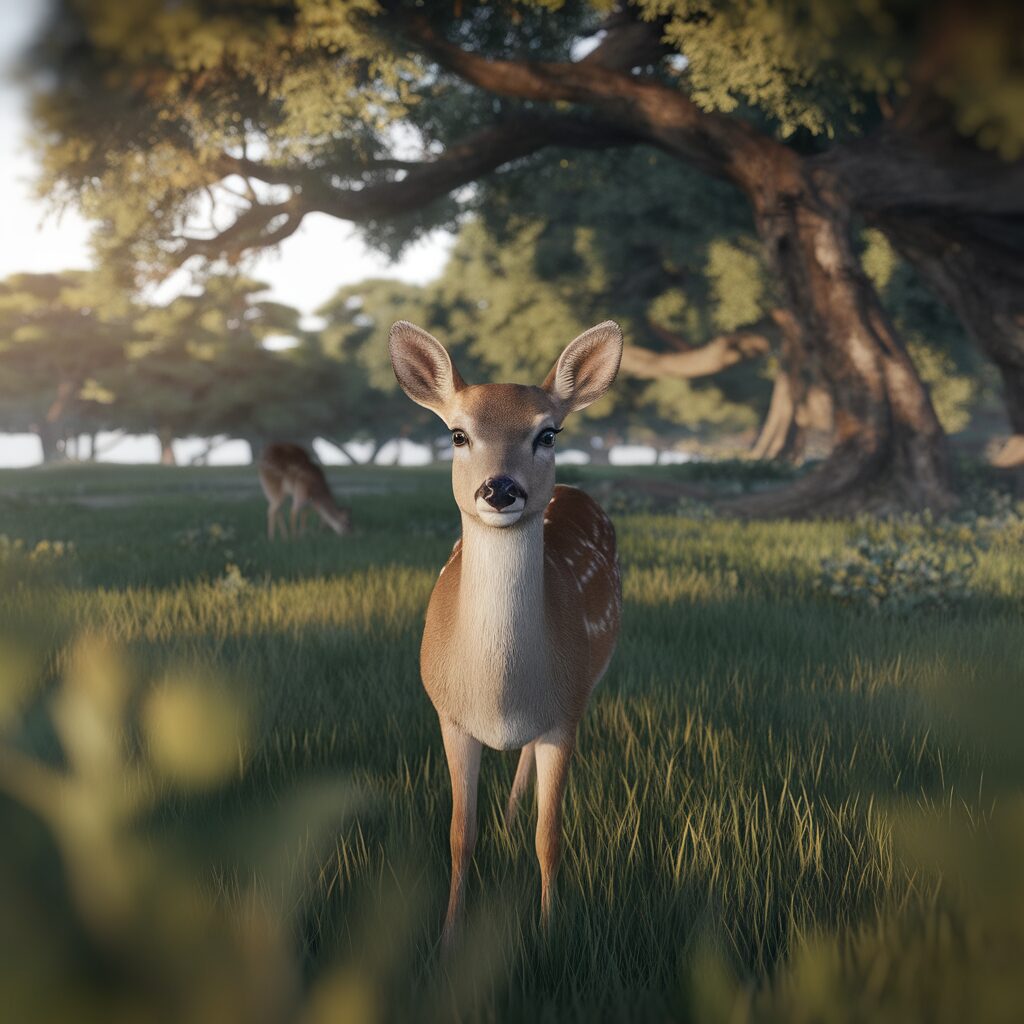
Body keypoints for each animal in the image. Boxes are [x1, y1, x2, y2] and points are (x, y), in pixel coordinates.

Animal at [388, 319, 623, 944]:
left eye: (548, 433)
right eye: (457, 434)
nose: (500, 489)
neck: (498, 693)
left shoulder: (564, 714)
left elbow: (551, 836)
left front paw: (549, 928)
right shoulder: (448, 714)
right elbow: (460, 834)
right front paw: (449, 934)